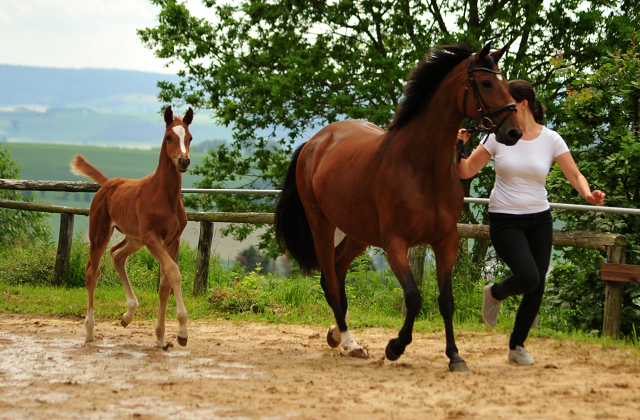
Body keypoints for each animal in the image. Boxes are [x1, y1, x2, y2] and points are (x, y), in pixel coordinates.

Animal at [71, 105, 194, 348]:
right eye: (169, 137)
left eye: (190, 138)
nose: (183, 161)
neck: (164, 196)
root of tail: (107, 183)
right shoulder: (152, 238)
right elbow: (174, 272)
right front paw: (182, 333)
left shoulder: (172, 240)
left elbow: (164, 285)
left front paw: (161, 337)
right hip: (100, 233)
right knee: (92, 272)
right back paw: (89, 331)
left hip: (134, 239)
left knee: (117, 255)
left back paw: (127, 315)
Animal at [274, 42, 520, 370]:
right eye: (486, 83)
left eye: (504, 83)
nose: (514, 132)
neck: (422, 167)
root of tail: (315, 142)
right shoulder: (395, 243)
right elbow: (414, 297)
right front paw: (395, 347)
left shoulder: (446, 240)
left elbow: (446, 300)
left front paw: (454, 356)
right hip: (321, 224)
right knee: (330, 279)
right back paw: (350, 343)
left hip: (359, 233)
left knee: (337, 271)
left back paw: (337, 334)